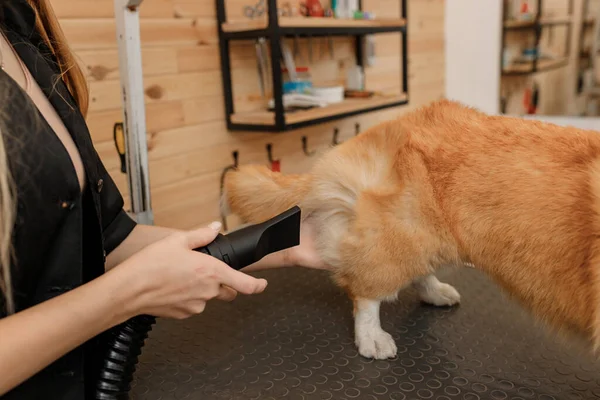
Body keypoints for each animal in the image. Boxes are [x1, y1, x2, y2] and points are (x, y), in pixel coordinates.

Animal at [223, 99, 600, 360]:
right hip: (404, 234)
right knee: (366, 293)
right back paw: (372, 338)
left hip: (431, 237)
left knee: (418, 273)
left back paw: (435, 292)